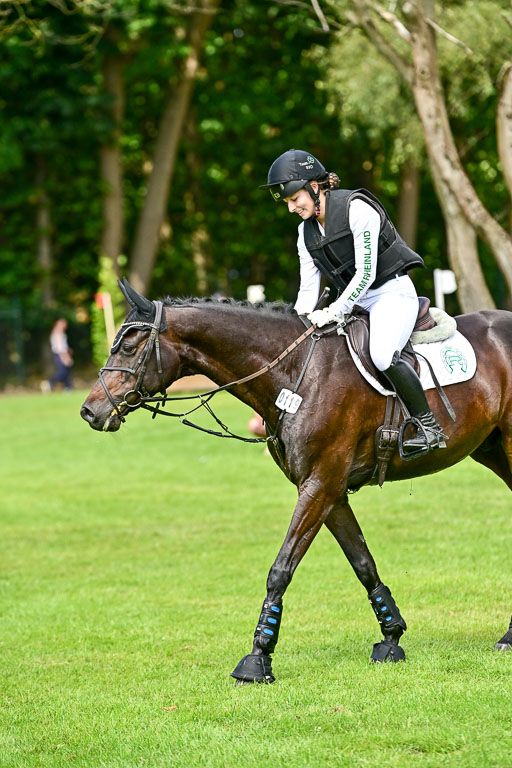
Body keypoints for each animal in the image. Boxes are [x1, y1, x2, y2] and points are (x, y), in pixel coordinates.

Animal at [81, 279, 512, 683]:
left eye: (128, 347)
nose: (90, 410)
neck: (295, 373)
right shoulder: (329, 491)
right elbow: (363, 563)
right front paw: (391, 637)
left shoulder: (320, 485)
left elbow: (281, 569)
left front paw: (258, 657)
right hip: (492, 451)